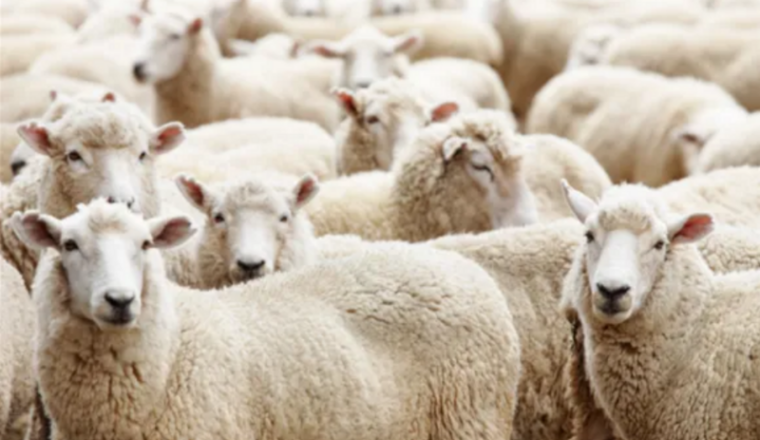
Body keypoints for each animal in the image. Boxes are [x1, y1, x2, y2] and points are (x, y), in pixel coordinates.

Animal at [16, 198, 521, 440]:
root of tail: (459, 266)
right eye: (69, 245)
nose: (120, 300)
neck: (173, 353)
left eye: (145, 244)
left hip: (472, 420)